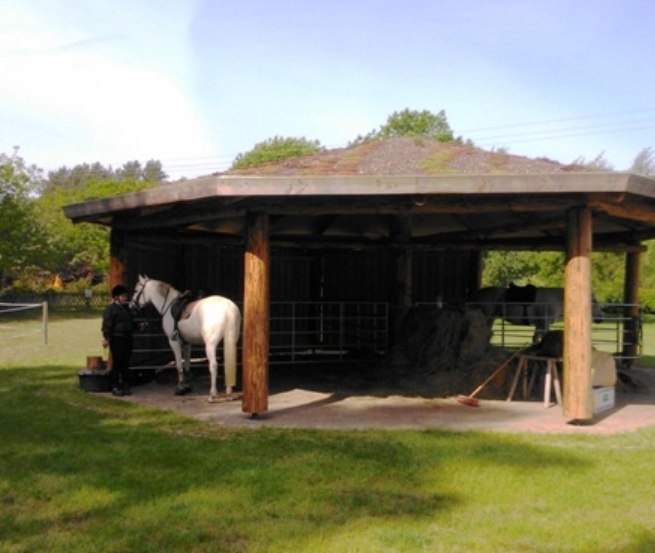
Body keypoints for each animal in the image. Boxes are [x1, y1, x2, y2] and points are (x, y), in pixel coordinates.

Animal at [472, 284, 604, 340]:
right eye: (594, 301)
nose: (601, 318)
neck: (554, 299)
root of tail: (478, 293)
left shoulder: (539, 325)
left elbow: (535, 339)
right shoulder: (544, 325)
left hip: (491, 318)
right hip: (487, 317)